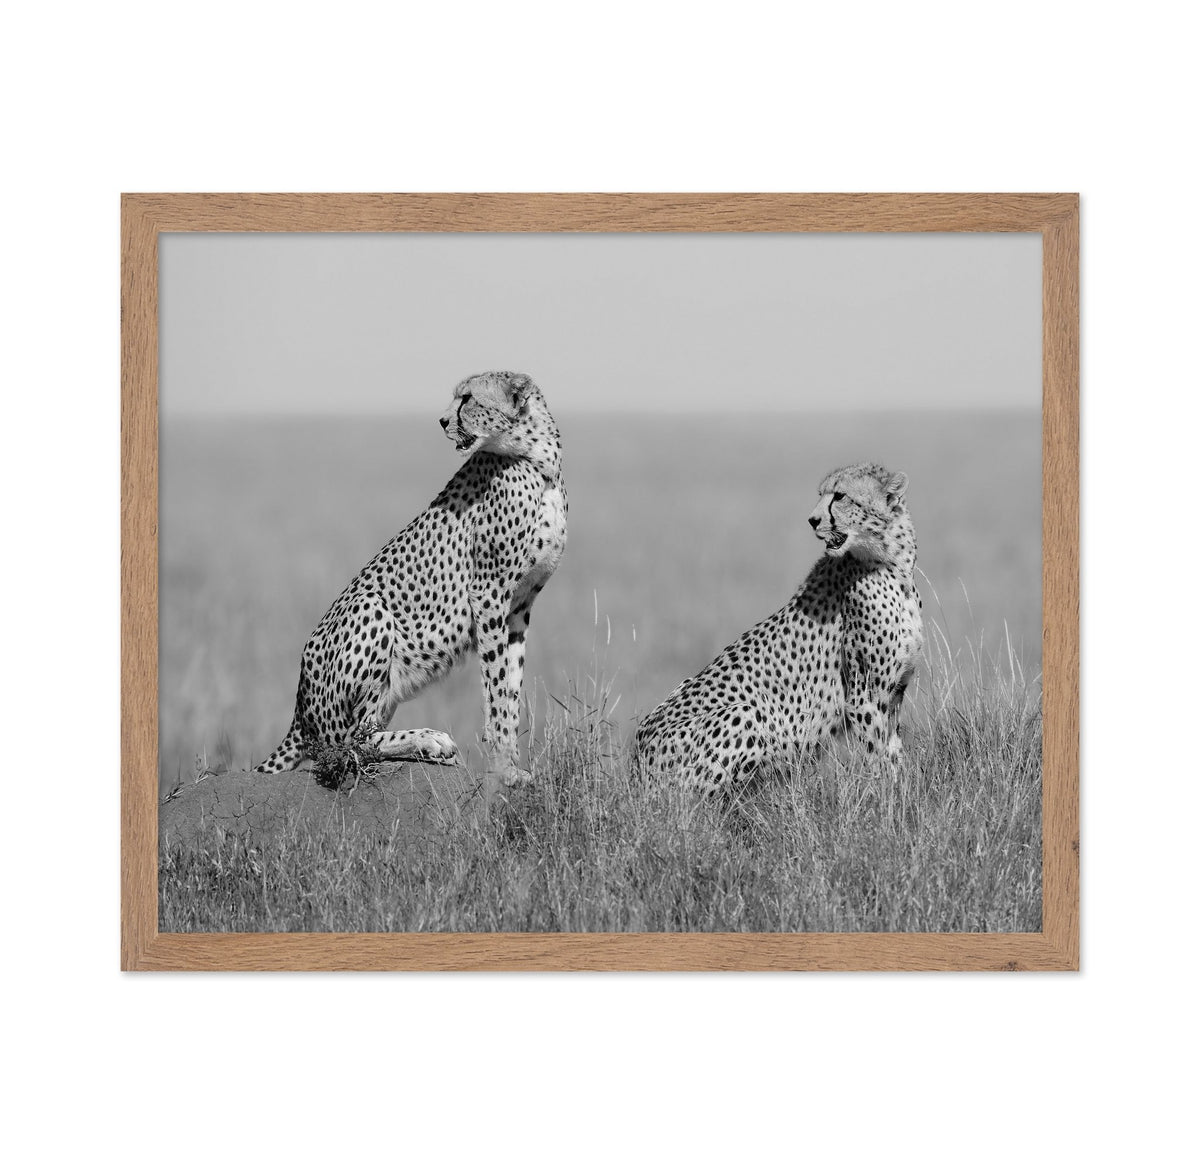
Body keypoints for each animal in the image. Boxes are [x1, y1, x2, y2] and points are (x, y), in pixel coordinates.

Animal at [254, 371, 567, 793]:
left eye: (468, 398)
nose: (442, 420)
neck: (538, 458)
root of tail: (299, 707)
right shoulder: (488, 592)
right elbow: (497, 686)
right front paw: (504, 769)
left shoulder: (519, 604)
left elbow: (510, 686)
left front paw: (513, 766)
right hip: (369, 607)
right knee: (348, 744)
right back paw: (430, 739)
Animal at [633, 462, 922, 792]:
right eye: (821, 494)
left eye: (840, 496)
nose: (812, 520)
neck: (893, 564)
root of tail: (636, 760)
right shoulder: (865, 696)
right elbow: (878, 758)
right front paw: (885, 797)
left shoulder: (895, 692)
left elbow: (894, 753)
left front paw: (902, 793)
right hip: (743, 714)